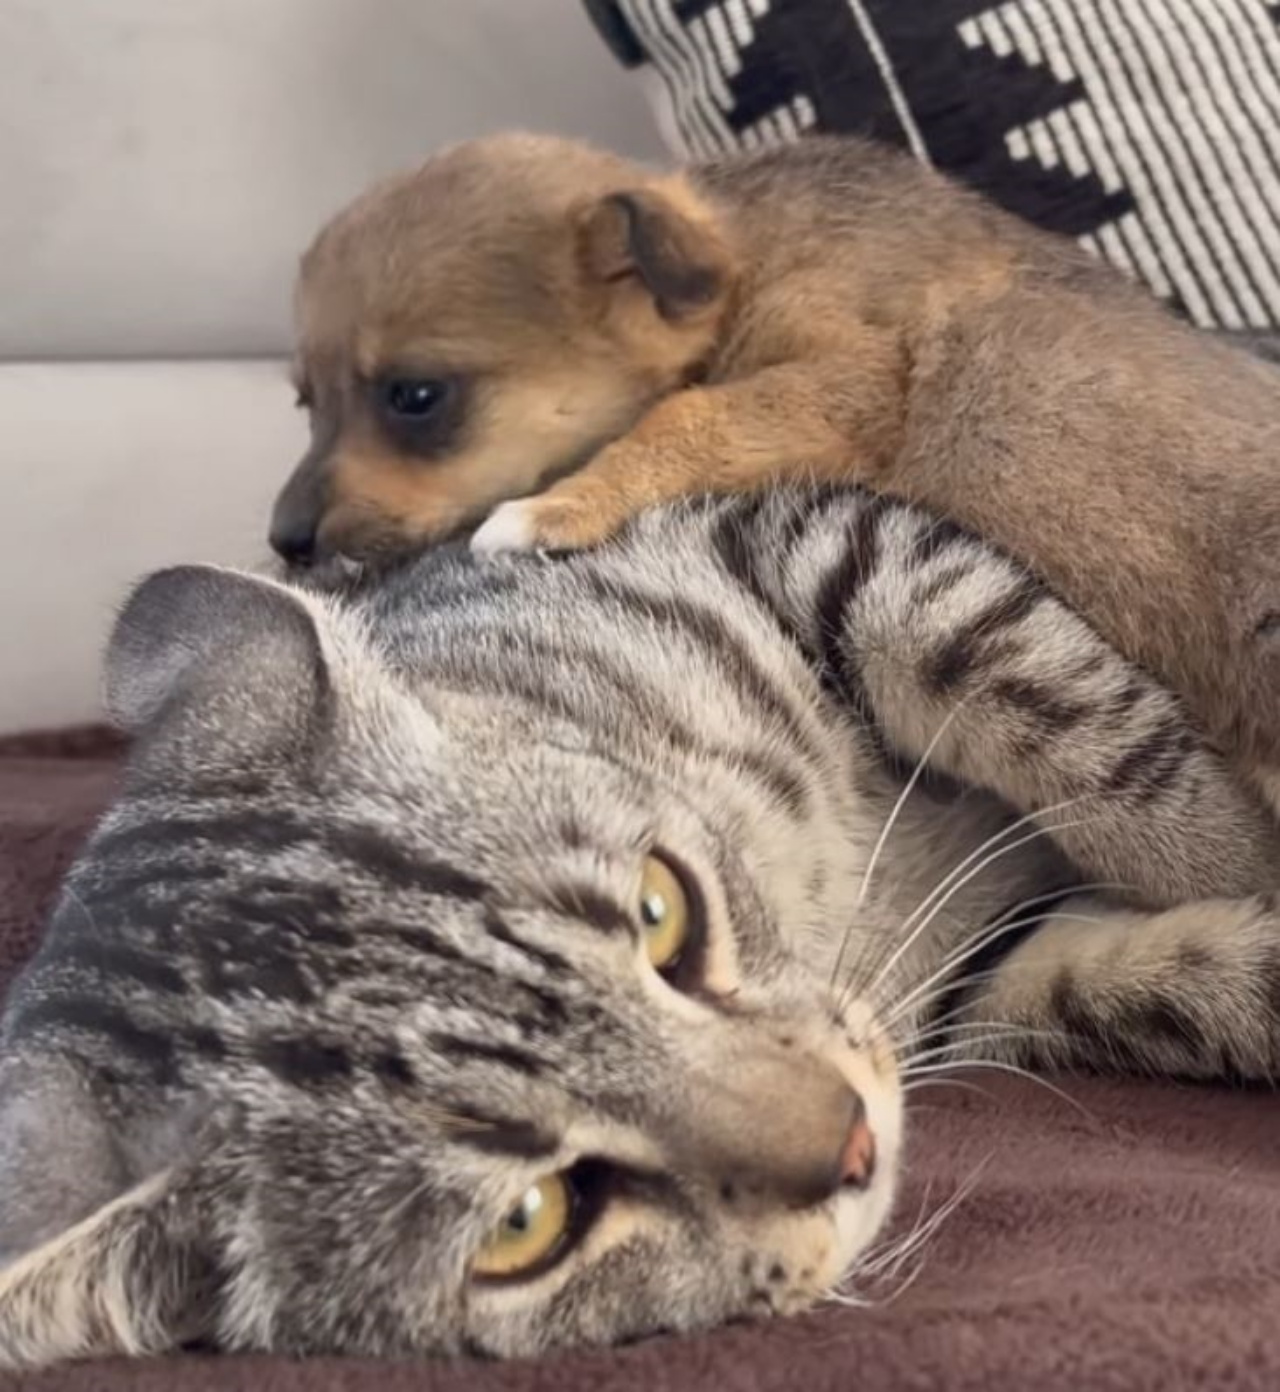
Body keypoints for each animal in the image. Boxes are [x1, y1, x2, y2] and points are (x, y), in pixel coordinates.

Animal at [2, 481, 1280, 1369]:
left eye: (662, 911)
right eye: (529, 1220)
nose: (856, 1141)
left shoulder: (794, 544)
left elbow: (1068, 716)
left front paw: (1238, 845)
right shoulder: (976, 974)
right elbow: (1148, 978)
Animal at [276, 132, 1280, 785]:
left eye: (415, 396)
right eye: (303, 400)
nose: (283, 541)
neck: (742, 260)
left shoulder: (853, 378)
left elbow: (687, 414)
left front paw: (560, 505)